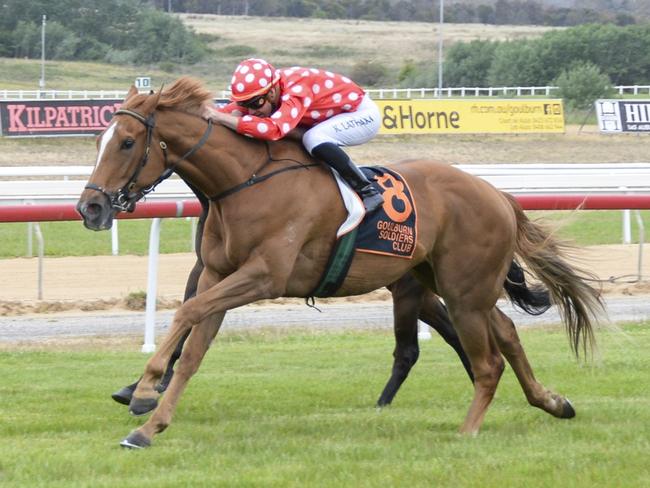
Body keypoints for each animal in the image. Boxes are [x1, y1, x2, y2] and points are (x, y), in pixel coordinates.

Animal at [77, 78, 604, 448]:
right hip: (448, 283)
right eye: (99, 140)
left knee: (489, 359)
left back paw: (469, 429)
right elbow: (193, 346)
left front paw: (144, 390)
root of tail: (497, 194)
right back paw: (552, 402)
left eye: (127, 142)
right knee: (508, 335)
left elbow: (187, 313)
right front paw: (149, 423)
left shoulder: (264, 276)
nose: (91, 208)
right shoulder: (217, 275)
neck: (244, 182)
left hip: (464, 291)